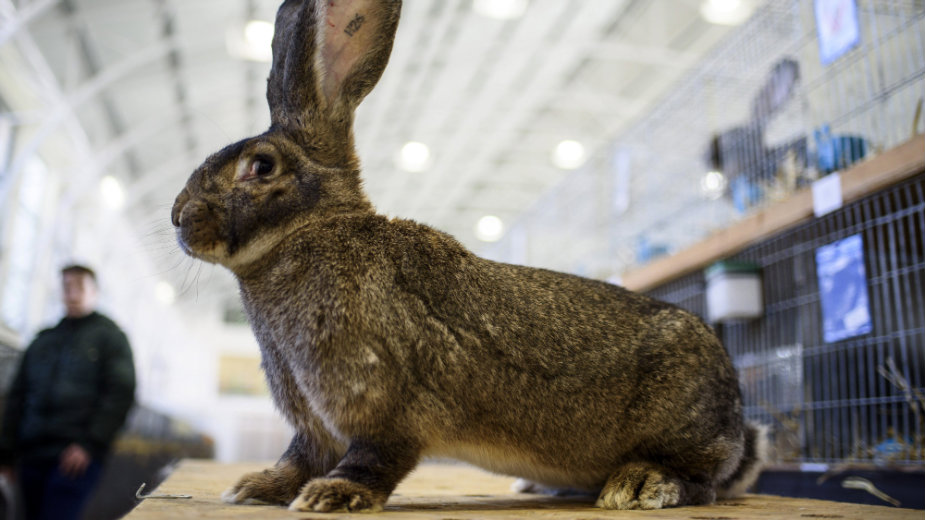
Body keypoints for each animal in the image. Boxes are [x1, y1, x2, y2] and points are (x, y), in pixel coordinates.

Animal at [171, 0, 764, 512]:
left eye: (262, 166)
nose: (178, 218)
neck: (312, 230)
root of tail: (738, 421)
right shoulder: (312, 423)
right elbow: (297, 458)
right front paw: (255, 488)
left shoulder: (388, 405)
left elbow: (373, 458)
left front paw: (333, 496)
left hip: (684, 423)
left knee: (702, 481)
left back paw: (640, 484)